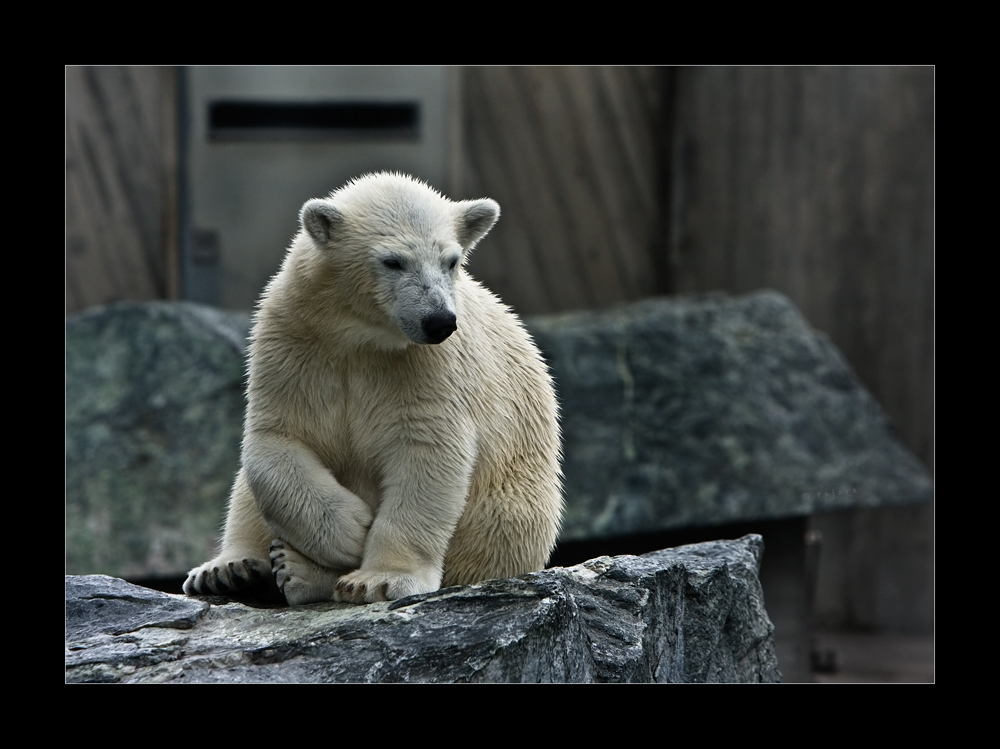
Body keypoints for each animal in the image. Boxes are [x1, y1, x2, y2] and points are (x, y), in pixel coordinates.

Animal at [182, 172, 564, 604]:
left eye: (451, 261)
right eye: (393, 261)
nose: (439, 321)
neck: (361, 336)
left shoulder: (429, 368)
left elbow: (428, 453)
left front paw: (376, 580)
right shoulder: (292, 342)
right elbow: (275, 441)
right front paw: (352, 531)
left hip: (510, 500)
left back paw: (297, 570)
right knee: (246, 492)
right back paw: (231, 570)